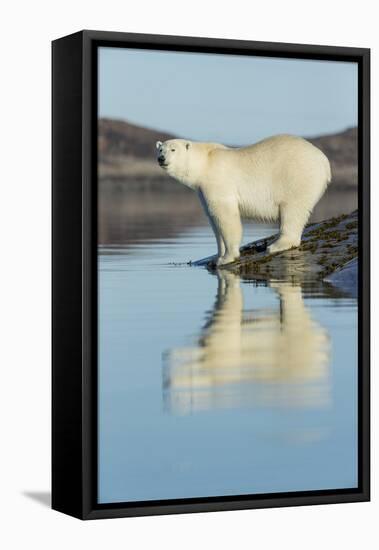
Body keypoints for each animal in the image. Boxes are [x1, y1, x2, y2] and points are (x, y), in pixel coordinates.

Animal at [156, 135, 332, 266]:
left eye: (173, 149)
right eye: (160, 149)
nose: (161, 158)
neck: (205, 163)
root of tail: (324, 161)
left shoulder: (218, 181)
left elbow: (226, 216)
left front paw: (228, 257)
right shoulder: (202, 190)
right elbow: (213, 219)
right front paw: (217, 257)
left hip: (297, 176)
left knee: (292, 209)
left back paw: (276, 245)